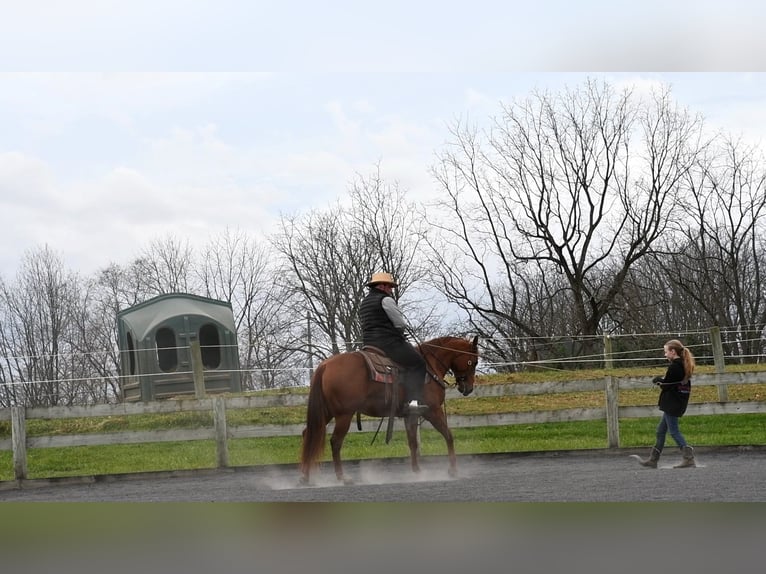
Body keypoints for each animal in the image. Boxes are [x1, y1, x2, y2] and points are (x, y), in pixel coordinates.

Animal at [300, 336, 480, 488]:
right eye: (474, 362)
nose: (468, 388)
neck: (430, 367)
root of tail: (325, 365)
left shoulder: (411, 414)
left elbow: (413, 442)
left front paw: (417, 471)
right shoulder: (432, 411)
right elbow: (448, 435)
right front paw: (453, 470)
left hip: (326, 412)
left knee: (308, 434)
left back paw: (306, 477)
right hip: (344, 415)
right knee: (336, 442)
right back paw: (342, 477)